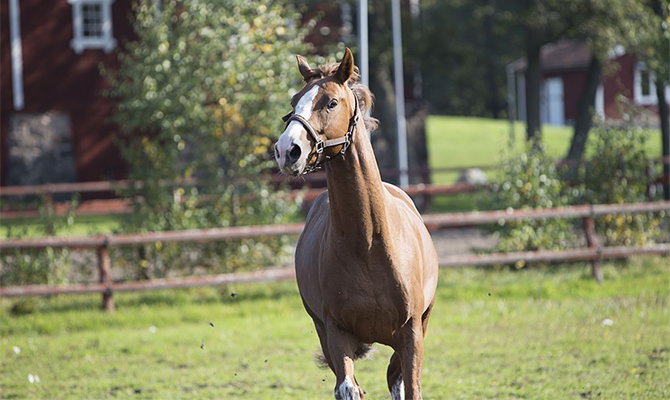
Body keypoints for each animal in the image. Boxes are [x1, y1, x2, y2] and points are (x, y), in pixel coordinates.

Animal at [274, 48, 440, 398]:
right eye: (295, 100)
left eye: (331, 102)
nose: (286, 151)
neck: (367, 244)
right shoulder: (335, 332)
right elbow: (348, 388)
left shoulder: (411, 332)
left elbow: (410, 386)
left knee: (395, 378)